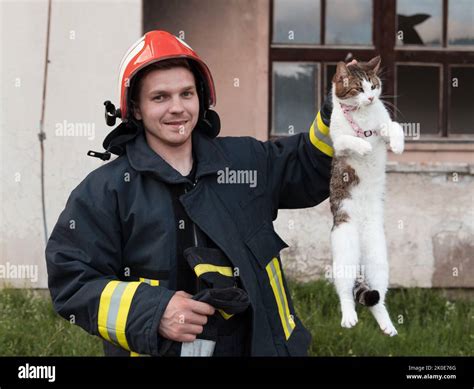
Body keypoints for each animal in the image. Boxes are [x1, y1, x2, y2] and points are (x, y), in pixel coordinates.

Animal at [330, 56, 404, 334]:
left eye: (373, 86)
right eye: (358, 89)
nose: (371, 98)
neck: (362, 116)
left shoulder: (384, 125)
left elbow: (395, 127)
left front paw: (398, 144)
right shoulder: (337, 140)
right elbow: (349, 139)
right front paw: (362, 146)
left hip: (379, 259)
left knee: (377, 299)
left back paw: (387, 326)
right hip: (344, 251)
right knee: (345, 292)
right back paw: (349, 316)